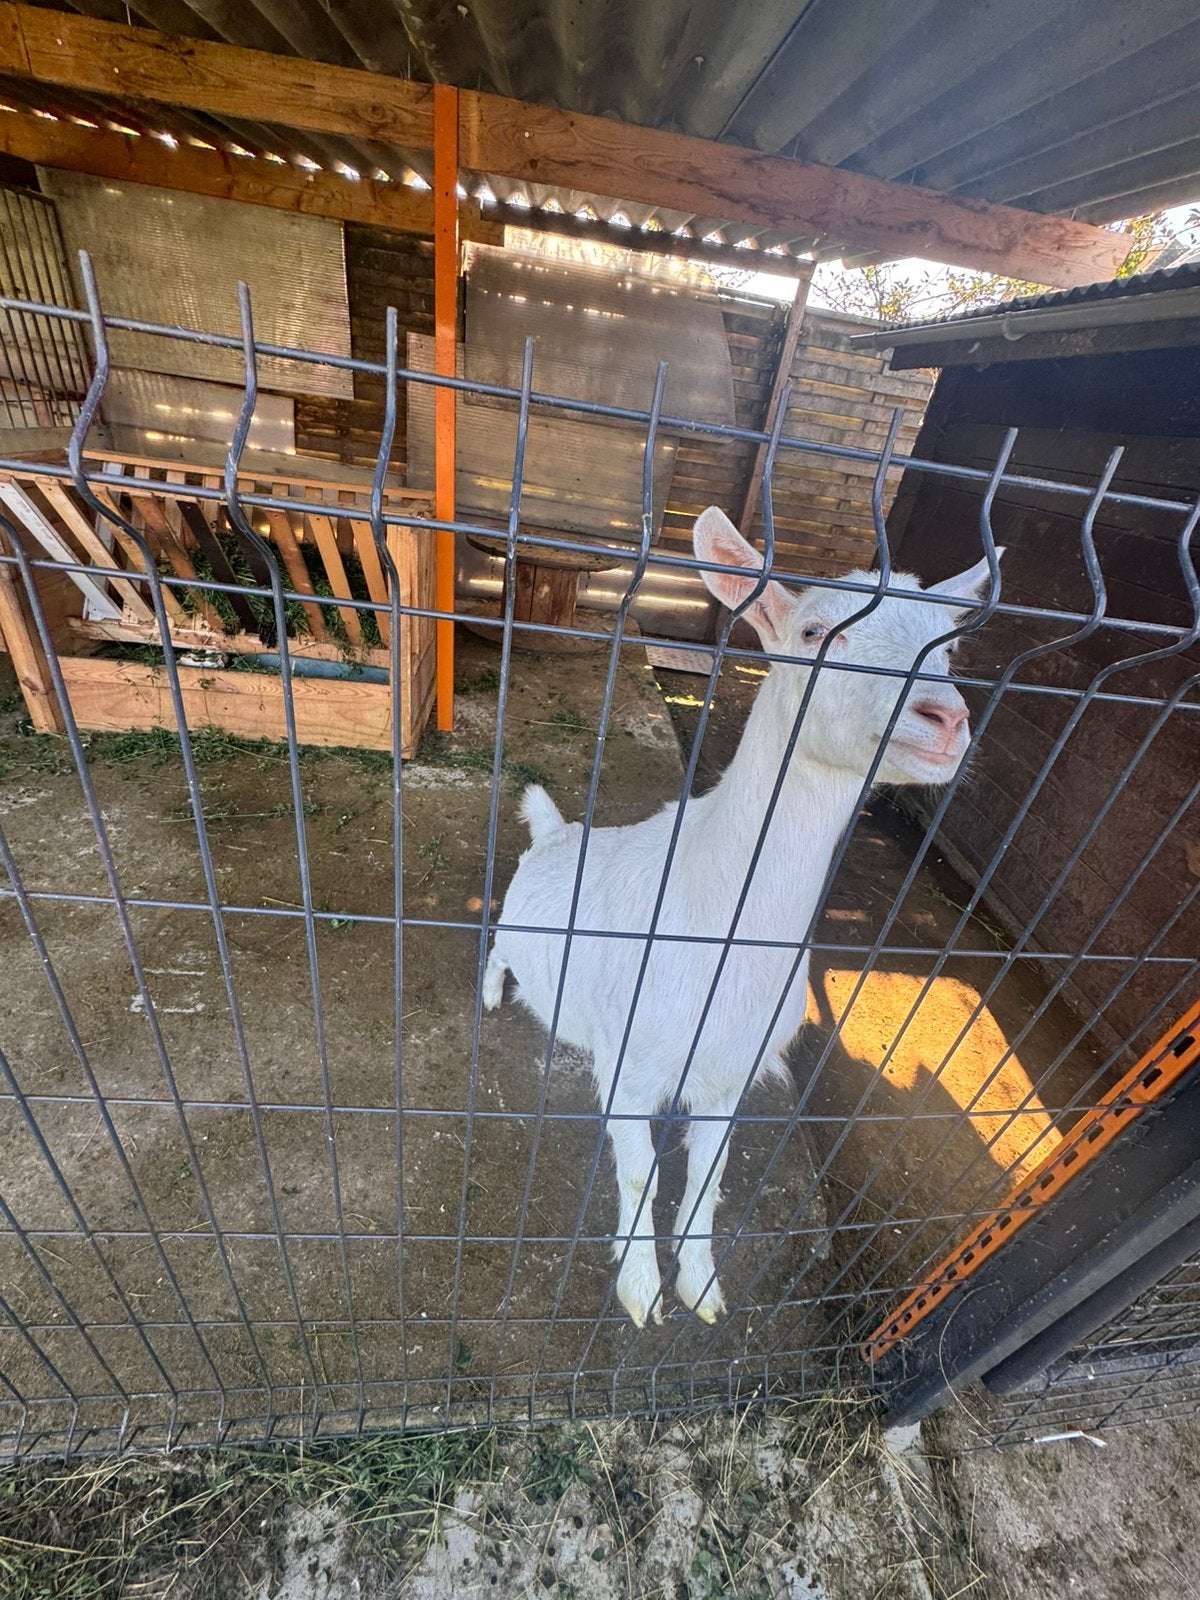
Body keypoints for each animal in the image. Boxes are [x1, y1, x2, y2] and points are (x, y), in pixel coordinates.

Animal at [484, 505, 1000, 1327]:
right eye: (817, 631)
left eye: (947, 646)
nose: (945, 720)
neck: (718, 918)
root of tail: (557, 831)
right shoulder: (628, 1065)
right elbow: (638, 1171)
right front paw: (639, 1287)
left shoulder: (730, 1075)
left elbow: (709, 1175)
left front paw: (699, 1284)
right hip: (513, 921)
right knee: (497, 948)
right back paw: (492, 992)